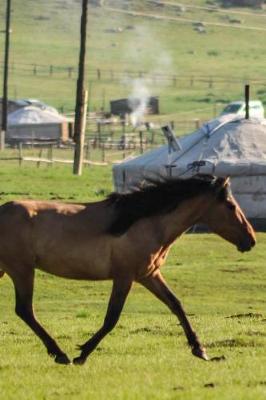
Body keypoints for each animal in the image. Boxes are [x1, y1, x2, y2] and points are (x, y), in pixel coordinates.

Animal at [0, 174, 256, 362]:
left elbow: (176, 305)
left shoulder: (149, 275)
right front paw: (83, 354)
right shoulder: (125, 277)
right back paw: (60, 353)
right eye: (230, 206)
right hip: (22, 270)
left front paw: (200, 350)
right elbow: (112, 317)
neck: (144, 222)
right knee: (25, 310)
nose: (251, 240)